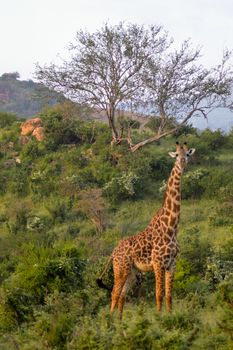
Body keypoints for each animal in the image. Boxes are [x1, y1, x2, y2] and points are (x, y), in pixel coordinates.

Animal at [96, 142, 195, 318]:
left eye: (188, 154)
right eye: (176, 155)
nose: (183, 162)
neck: (171, 229)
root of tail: (113, 251)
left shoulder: (172, 264)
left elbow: (169, 295)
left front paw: (169, 317)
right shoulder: (158, 263)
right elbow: (159, 294)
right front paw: (158, 317)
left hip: (132, 272)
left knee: (122, 295)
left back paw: (120, 322)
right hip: (120, 269)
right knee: (114, 293)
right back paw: (109, 321)